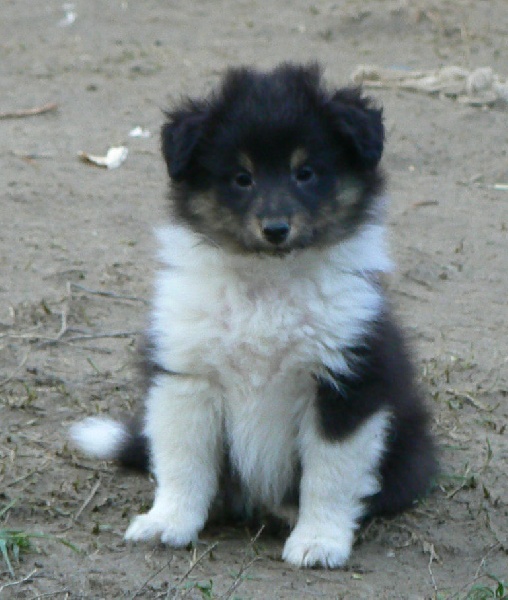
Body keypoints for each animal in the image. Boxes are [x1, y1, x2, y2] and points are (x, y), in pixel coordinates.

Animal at [71, 63, 436, 568]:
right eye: (242, 178)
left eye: (306, 173)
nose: (276, 229)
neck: (268, 283)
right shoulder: (189, 376)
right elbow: (183, 461)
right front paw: (168, 522)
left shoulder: (347, 381)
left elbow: (330, 474)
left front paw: (318, 541)